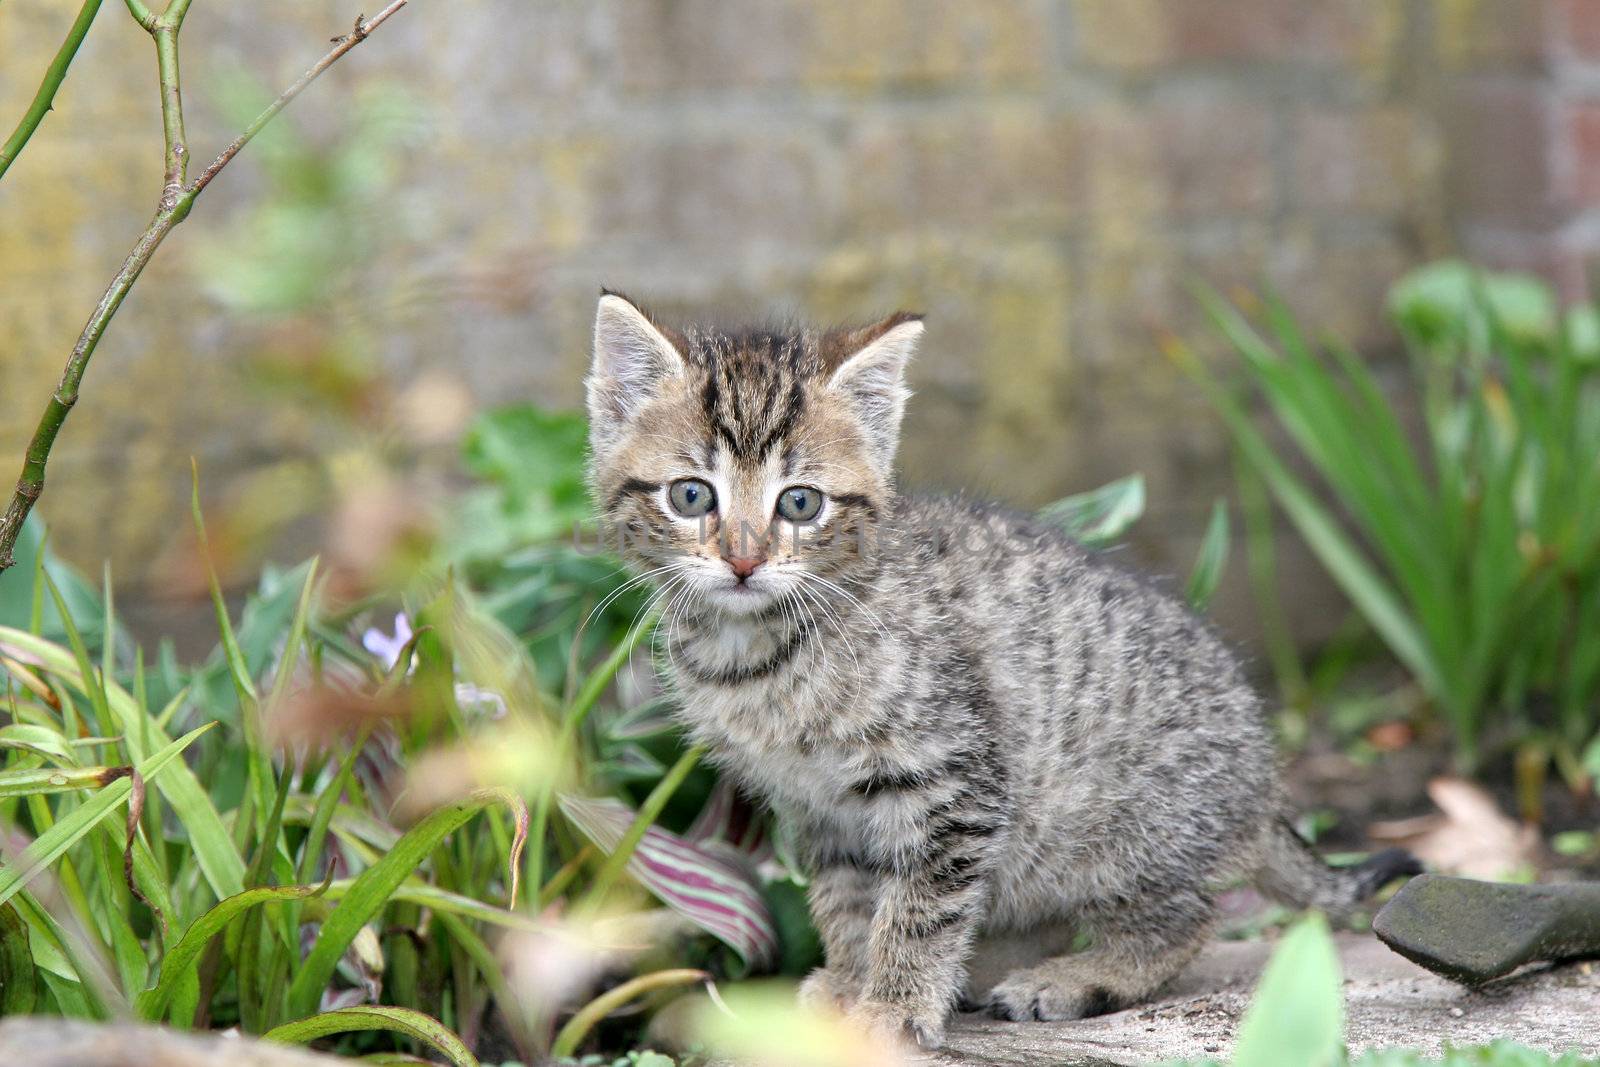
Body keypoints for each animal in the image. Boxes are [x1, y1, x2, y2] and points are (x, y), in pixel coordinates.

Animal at [582, 292, 1420, 1049]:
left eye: (799, 503)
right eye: (693, 495)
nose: (745, 560)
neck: (757, 651)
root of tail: (1265, 788)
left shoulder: (954, 779)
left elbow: (920, 906)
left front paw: (894, 1007)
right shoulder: (821, 809)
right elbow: (848, 902)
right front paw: (852, 984)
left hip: (1108, 832)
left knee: (1189, 917)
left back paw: (1078, 977)